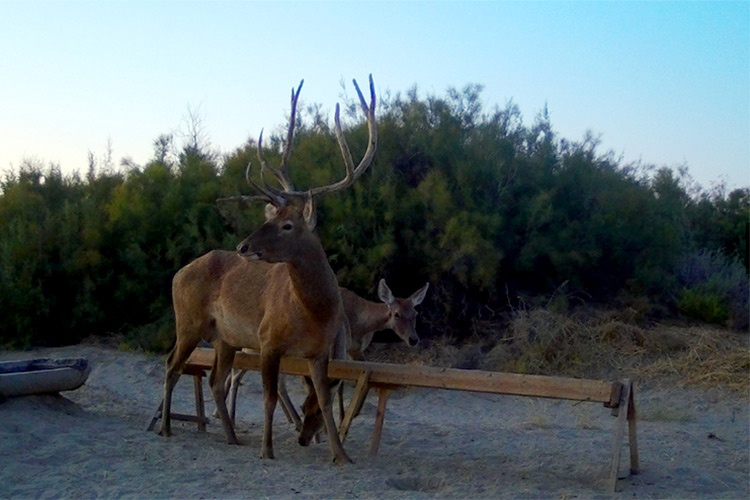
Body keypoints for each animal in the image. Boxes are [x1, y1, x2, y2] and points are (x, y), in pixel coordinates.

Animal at [223, 278, 428, 434]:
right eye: (396, 314)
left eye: (415, 313)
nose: (414, 339)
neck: (361, 323)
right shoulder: (342, 349)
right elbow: (340, 385)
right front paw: (344, 417)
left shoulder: (354, 350)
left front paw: (351, 414)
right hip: (257, 347)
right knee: (238, 372)